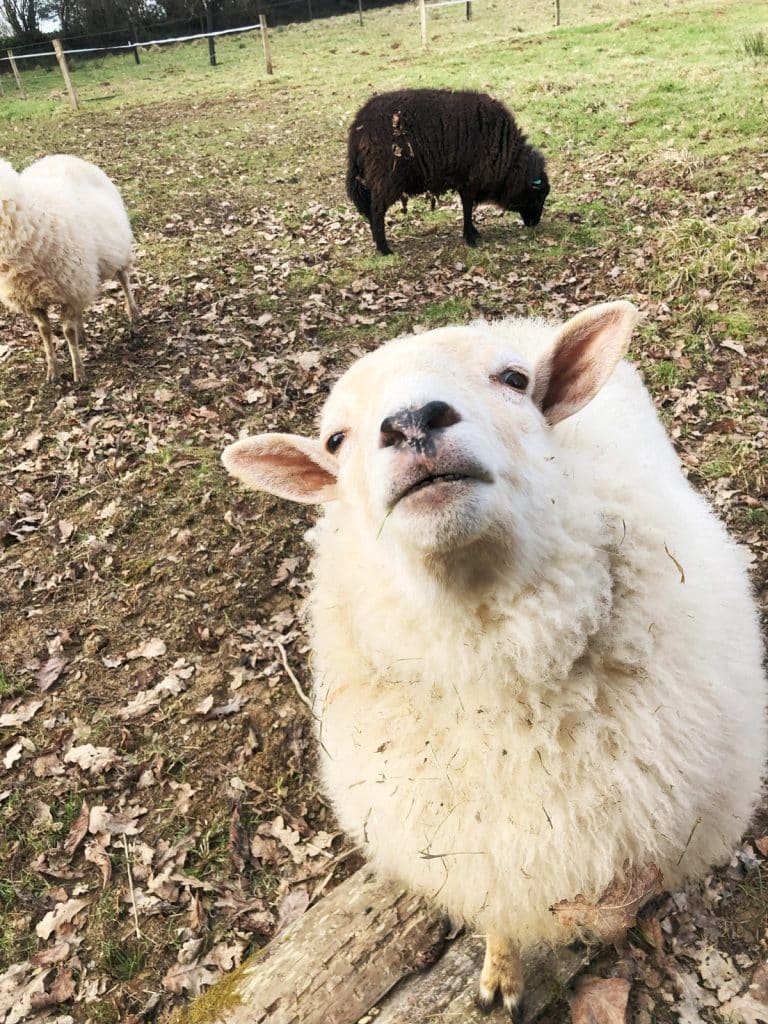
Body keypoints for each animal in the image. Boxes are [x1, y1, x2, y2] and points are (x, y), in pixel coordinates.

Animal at [0, 154, 139, 385]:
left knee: (124, 278)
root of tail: (62, 156)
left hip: (114, 249)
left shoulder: (70, 289)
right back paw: (83, 335)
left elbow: (67, 331)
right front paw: (52, 371)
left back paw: (133, 312)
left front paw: (79, 373)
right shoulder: (33, 299)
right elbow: (45, 332)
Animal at [222, 301, 767, 1019]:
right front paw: (499, 977)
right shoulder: (479, 859)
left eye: (514, 380)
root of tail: (516, 318)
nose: (412, 422)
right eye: (336, 440)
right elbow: (501, 919)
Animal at [346, 88, 550, 255]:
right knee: (376, 210)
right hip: (387, 176)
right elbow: (467, 207)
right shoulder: (471, 180)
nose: (535, 223)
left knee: (369, 209)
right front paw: (470, 236)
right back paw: (384, 248)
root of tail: (358, 126)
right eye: (539, 196)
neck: (508, 158)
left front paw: (472, 233)